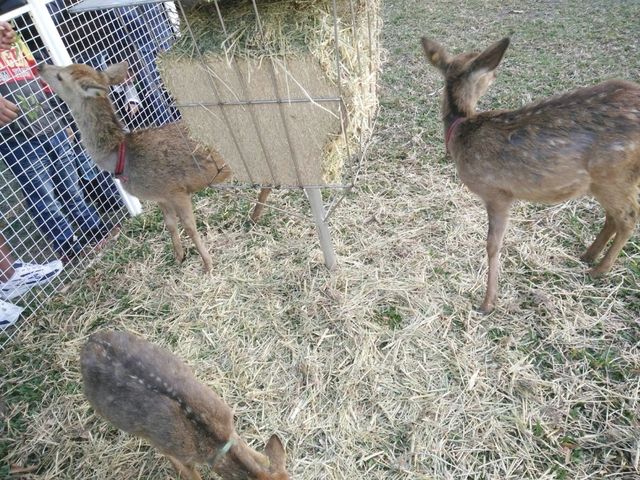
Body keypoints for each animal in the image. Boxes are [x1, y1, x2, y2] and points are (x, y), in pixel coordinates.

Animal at [39, 62, 270, 274]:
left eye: (60, 76)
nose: (40, 66)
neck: (122, 157)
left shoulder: (176, 190)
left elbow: (190, 227)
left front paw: (207, 265)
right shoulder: (162, 197)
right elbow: (170, 224)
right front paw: (179, 257)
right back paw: (254, 216)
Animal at [420, 38, 640, 316]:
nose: (496, 73)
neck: (461, 130)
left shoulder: (497, 193)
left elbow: (492, 244)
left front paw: (487, 302)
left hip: (615, 174)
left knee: (629, 216)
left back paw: (599, 270)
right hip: (604, 182)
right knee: (614, 217)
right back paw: (588, 256)